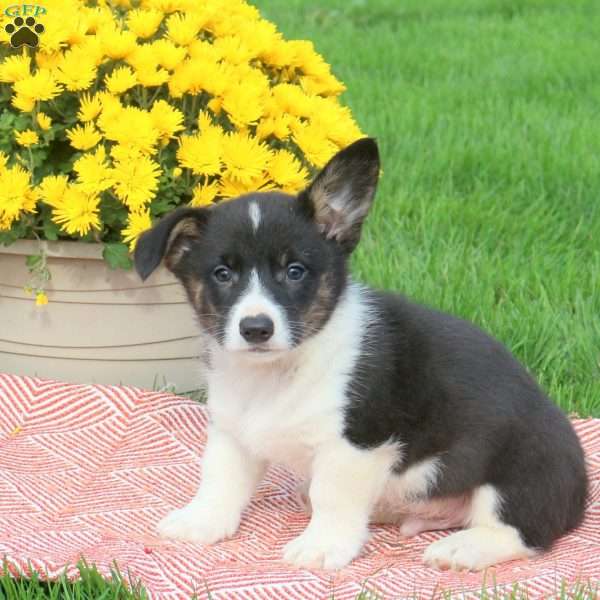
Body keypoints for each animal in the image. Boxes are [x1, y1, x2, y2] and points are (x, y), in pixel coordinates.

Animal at [135, 138, 584, 568]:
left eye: (294, 271)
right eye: (222, 273)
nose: (256, 329)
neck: (279, 372)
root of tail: (584, 491)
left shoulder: (355, 445)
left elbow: (331, 497)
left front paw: (321, 546)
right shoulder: (232, 429)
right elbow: (220, 478)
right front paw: (201, 521)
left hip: (519, 472)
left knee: (521, 530)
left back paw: (462, 549)